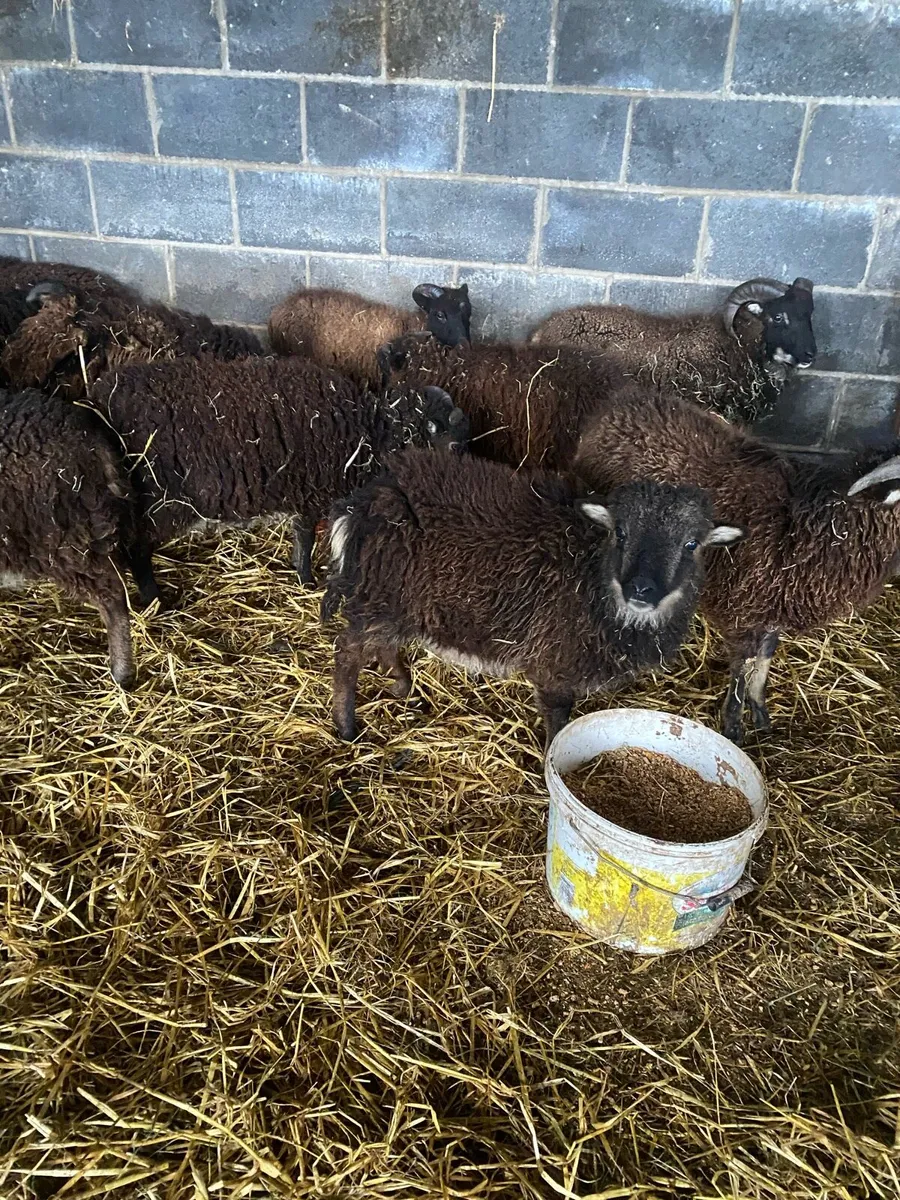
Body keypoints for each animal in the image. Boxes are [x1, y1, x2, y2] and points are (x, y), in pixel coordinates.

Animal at [90, 354, 470, 591]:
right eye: (453, 446)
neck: (369, 434)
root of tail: (101, 398)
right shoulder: (312, 492)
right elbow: (305, 537)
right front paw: (305, 579)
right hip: (157, 501)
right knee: (137, 548)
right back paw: (154, 600)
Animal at [321, 446, 742, 750]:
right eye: (620, 532)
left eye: (691, 544)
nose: (640, 589)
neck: (591, 575)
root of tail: (374, 493)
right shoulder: (554, 666)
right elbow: (558, 721)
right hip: (383, 595)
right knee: (347, 653)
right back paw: (347, 726)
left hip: (396, 601)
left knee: (381, 645)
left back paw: (402, 686)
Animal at [572, 386, 900, 743]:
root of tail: (624, 401)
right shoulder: (744, 607)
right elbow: (741, 668)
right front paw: (733, 726)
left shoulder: (773, 608)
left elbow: (766, 657)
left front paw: (761, 712)